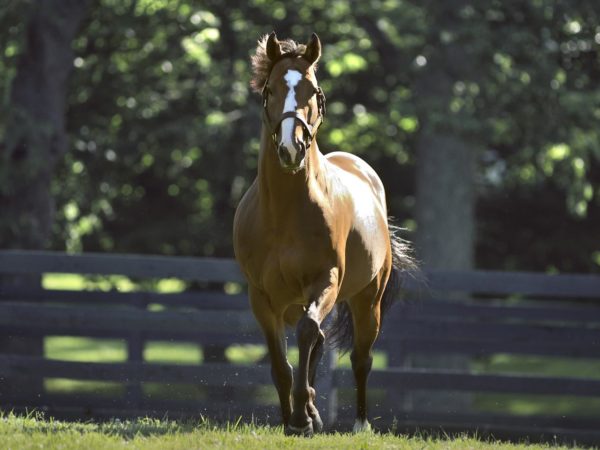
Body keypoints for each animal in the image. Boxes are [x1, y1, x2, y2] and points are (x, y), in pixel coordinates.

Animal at [232, 32, 414, 436]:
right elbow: (281, 362)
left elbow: (306, 333)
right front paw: (293, 418)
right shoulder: (260, 297)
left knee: (359, 357)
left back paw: (359, 423)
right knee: (317, 342)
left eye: (313, 90)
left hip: (367, 301)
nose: (291, 148)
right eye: (269, 90)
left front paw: (302, 417)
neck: (285, 214)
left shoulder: (325, 280)